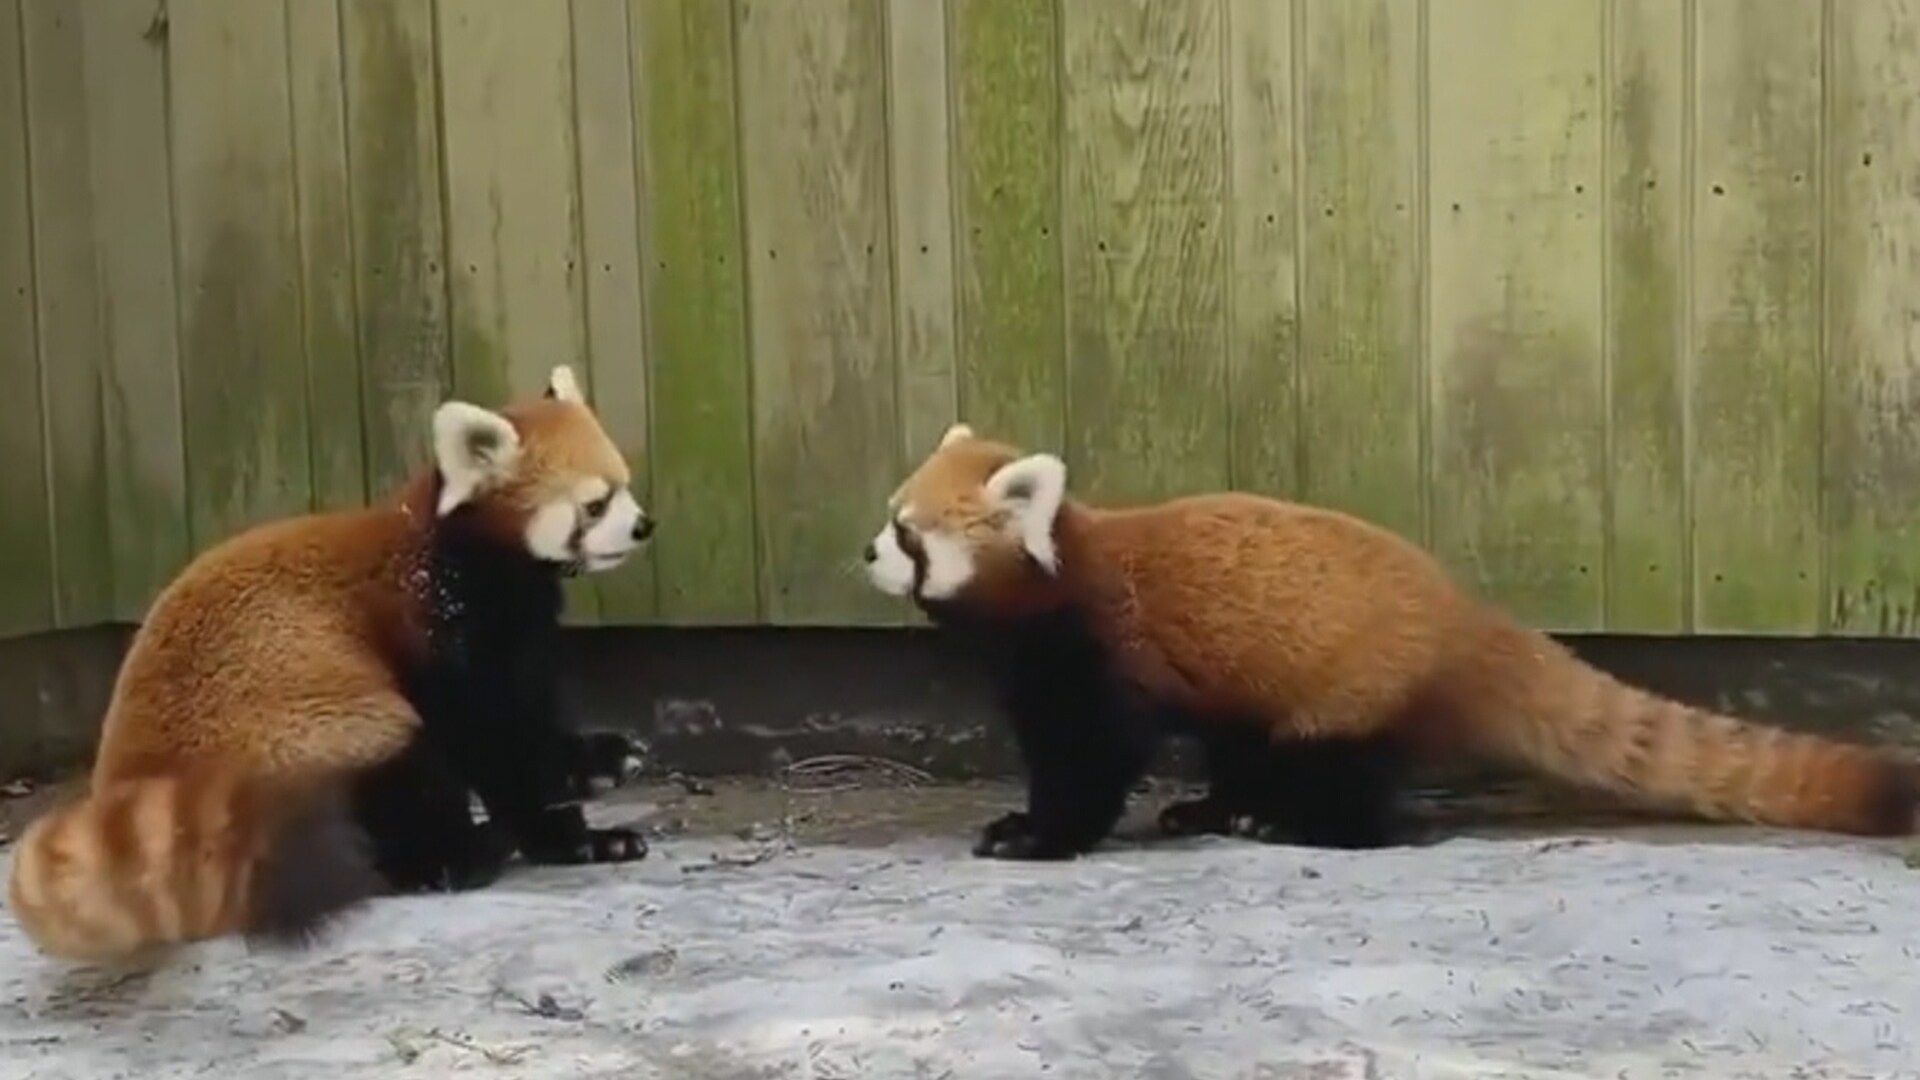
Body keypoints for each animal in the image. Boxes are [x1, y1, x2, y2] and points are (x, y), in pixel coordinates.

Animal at [7, 365, 656, 960]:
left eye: (626, 486)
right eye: (595, 505)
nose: (644, 527)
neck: (471, 554)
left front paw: (591, 802)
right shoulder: (444, 629)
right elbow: (494, 740)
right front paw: (576, 804)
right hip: (307, 727)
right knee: (402, 774)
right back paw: (461, 855)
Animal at [860, 420, 1920, 857]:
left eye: (910, 533)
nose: (865, 551)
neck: (1059, 578)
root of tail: (1461, 614)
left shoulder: (1096, 658)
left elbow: (1092, 761)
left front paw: (1033, 835)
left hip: (1354, 685)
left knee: (1348, 778)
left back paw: (1291, 822)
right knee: (1245, 746)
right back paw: (1218, 809)